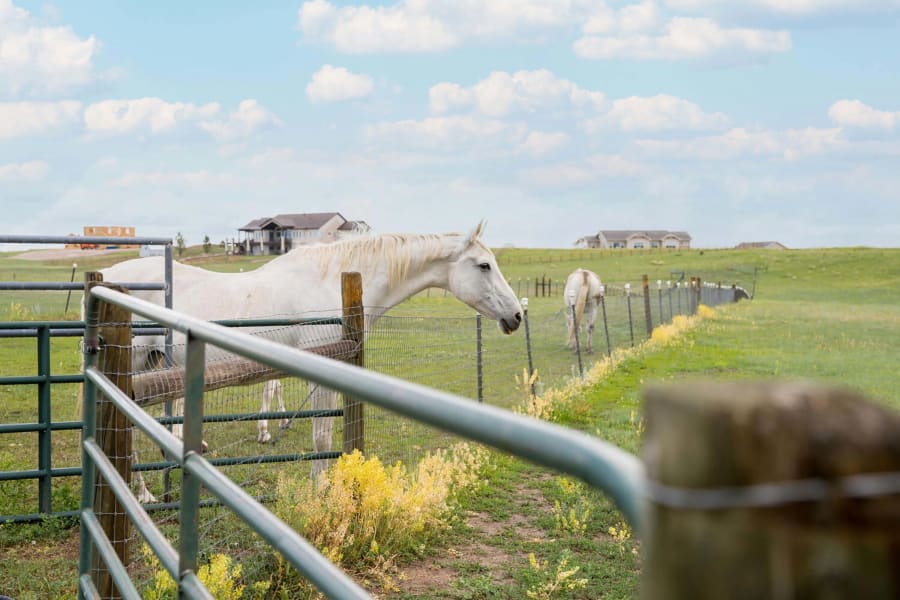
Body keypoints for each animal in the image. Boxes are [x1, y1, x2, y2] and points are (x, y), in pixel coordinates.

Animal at [89, 221, 520, 502]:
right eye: (484, 265)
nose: (516, 316)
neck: (332, 281)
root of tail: (105, 279)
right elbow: (321, 437)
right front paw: (321, 491)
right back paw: (141, 493)